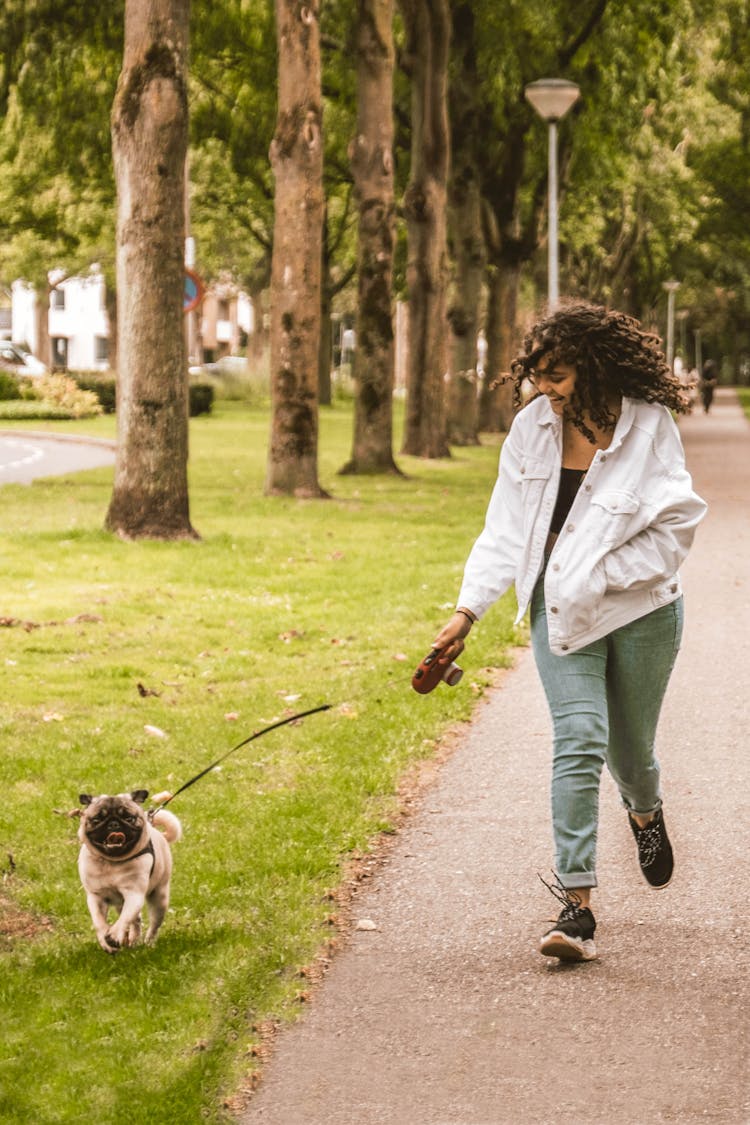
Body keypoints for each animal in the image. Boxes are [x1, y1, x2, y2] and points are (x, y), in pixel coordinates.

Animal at [76, 792, 183, 949]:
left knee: (152, 924)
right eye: (96, 819)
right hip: (121, 904)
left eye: (129, 819)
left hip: (159, 898)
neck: (112, 863)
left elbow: (124, 918)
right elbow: (99, 921)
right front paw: (105, 939)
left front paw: (114, 935)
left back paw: (148, 942)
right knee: (136, 920)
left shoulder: (134, 895)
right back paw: (132, 939)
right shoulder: (96, 897)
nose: (113, 824)